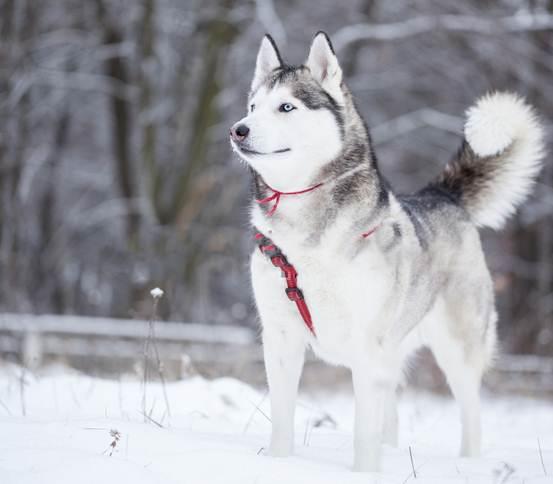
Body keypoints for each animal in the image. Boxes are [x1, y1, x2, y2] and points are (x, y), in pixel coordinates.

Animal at [227, 32, 544, 470]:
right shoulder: (281, 338)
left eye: (286, 106)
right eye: (253, 107)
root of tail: (440, 195)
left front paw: (364, 473)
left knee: (470, 412)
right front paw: (279, 464)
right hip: (393, 353)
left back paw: (468, 462)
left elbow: (364, 431)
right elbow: (283, 421)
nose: (238, 130)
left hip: (457, 349)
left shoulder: (366, 345)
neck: (307, 236)